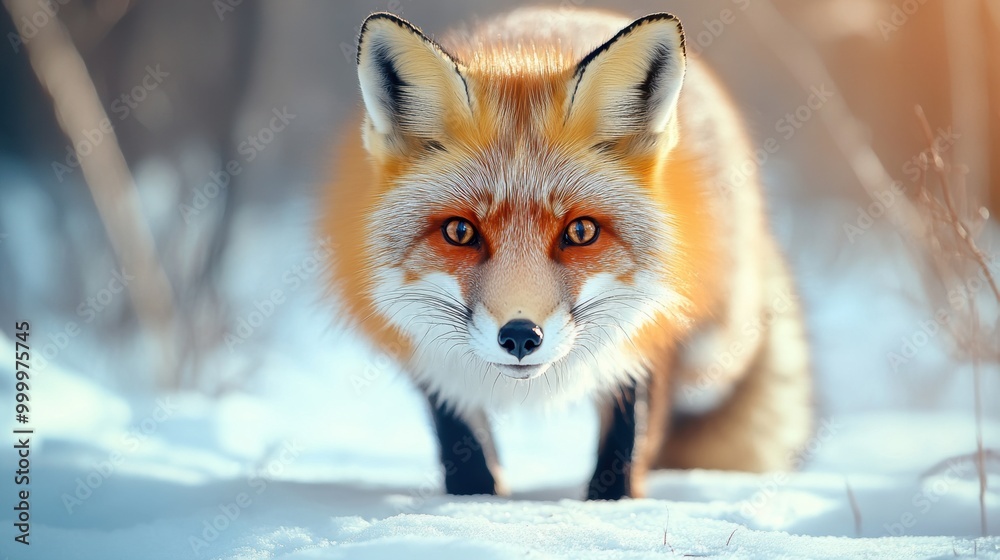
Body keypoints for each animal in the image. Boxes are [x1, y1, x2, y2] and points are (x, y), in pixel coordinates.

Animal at [323, 7, 812, 500]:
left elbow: (626, 433)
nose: (521, 336)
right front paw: (474, 502)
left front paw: (610, 506)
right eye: (460, 231)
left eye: (580, 231)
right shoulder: (420, 348)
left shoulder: (651, 329)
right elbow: (462, 441)